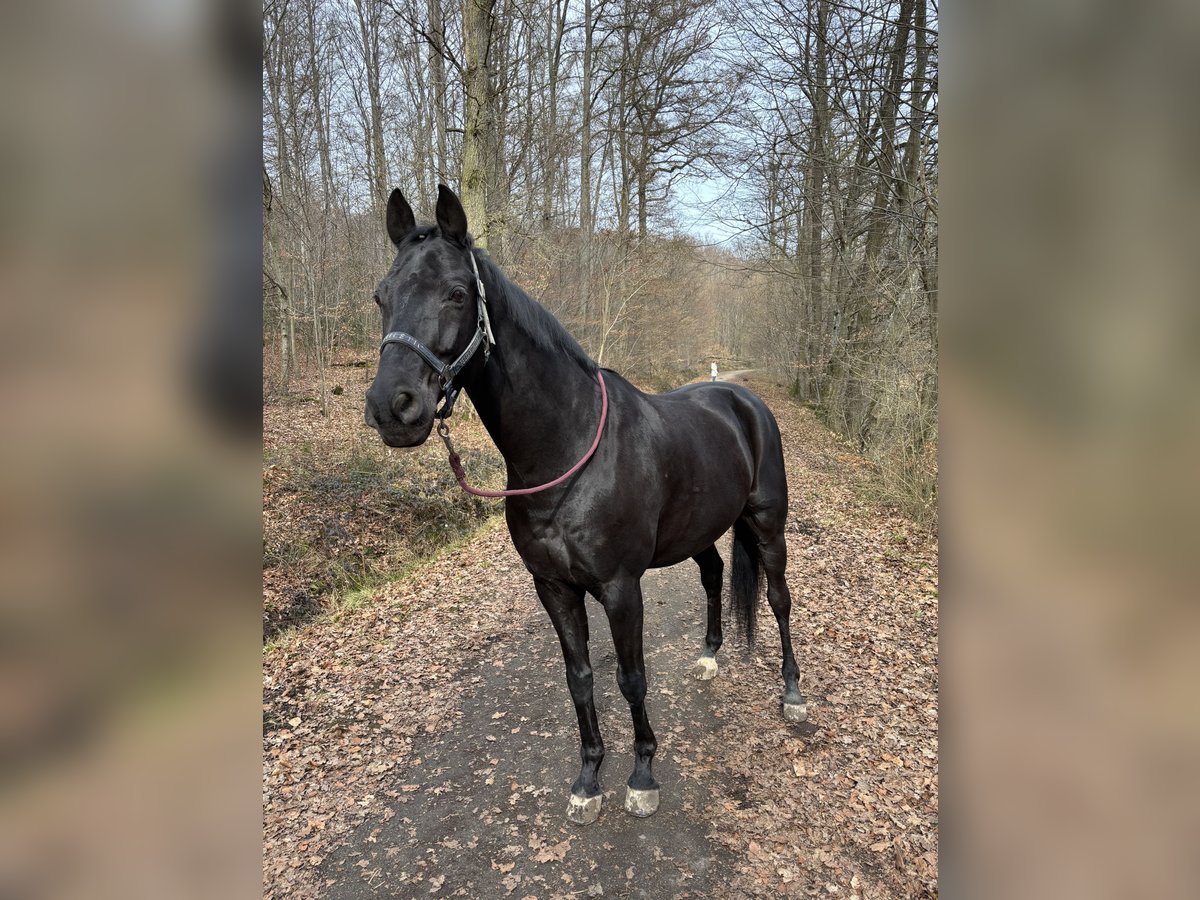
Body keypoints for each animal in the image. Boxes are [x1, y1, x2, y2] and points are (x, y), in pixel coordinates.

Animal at [360, 187, 801, 830]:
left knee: (778, 599)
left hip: (768, 527)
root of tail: (743, 399)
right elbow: (581, 679)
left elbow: (631, 678)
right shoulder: (554, 587)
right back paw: (708, 657)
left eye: (457, 293)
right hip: (698, 532)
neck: (566, 454)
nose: (393, 408)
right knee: (715, 575)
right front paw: (590, 779)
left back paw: (793, 694)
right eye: (381, 296)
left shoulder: (620, 587)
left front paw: (642, 776)